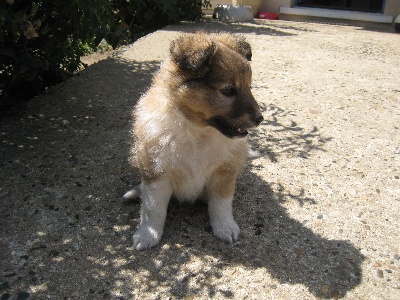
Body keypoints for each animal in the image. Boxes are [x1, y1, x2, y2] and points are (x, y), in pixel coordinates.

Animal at [123, 31, 264, 250]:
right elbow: (153, 208)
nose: (260, 118)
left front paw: (224, 227)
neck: (197, 132)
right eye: (228, 90)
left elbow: (222, 203)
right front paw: (148, 234)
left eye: (248, 86)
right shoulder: (156, 172)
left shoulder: (223, 171)